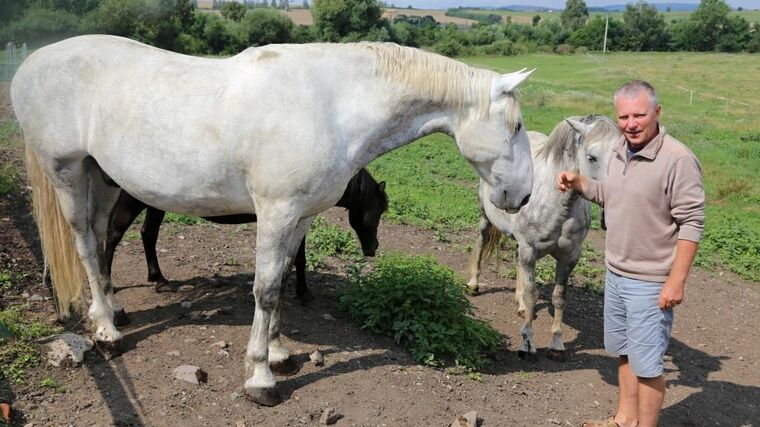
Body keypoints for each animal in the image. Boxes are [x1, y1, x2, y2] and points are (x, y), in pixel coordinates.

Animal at [105, 169, 386, 302]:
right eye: (378, 209)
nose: (373, 248)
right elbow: (300, 259)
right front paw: (304, 293)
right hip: (133, 201)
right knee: (113, 234)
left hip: (154, 203)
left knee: (148, 234)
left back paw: (159, 279)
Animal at [466, 116, 620, 362]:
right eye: (591, 157)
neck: (559, 204)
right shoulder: (530, 250)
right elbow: (532, 294)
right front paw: (527, 344)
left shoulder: (569, 257)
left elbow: (559, 297)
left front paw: (556, 344)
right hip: (485, 218)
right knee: (481, 243)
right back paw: (474, 284)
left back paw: (519, 306)